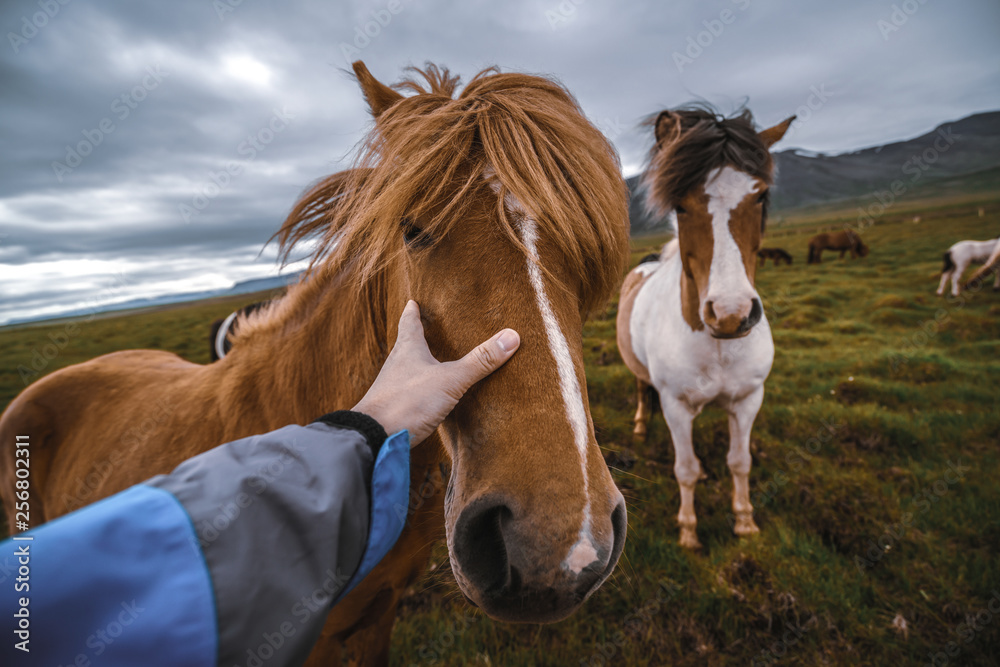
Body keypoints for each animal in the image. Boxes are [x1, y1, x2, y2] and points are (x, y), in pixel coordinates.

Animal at [612, 107, 792, 552]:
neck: (718, 344)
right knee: (641, 387)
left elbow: (740, 462)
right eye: (680, 205)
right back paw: (640, 424)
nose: (731, 313)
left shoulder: (748, 400)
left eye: (760, 195)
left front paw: (745, 522)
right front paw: (689, 531)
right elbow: (686, 469)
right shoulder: (675, 407)